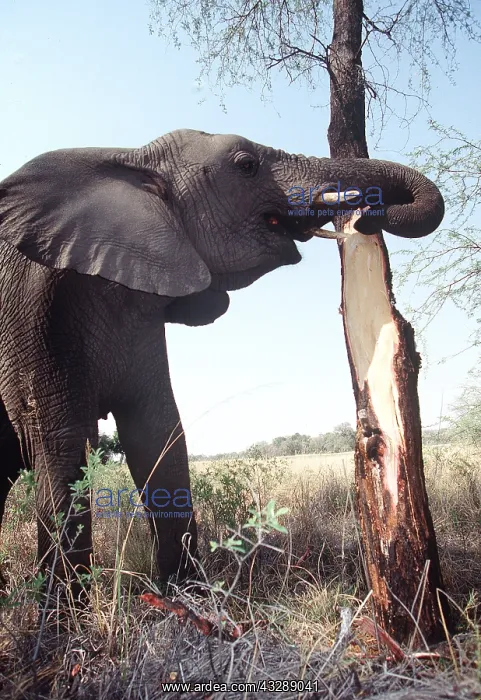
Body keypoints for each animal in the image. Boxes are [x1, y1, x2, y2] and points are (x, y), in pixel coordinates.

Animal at [0, 129, 444, 593]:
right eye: (246, 164)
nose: (369, 215)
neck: (134, 163)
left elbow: (157, 434)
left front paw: (184, 596)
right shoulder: (34, 303)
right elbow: (62, 445)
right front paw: (62, 610)